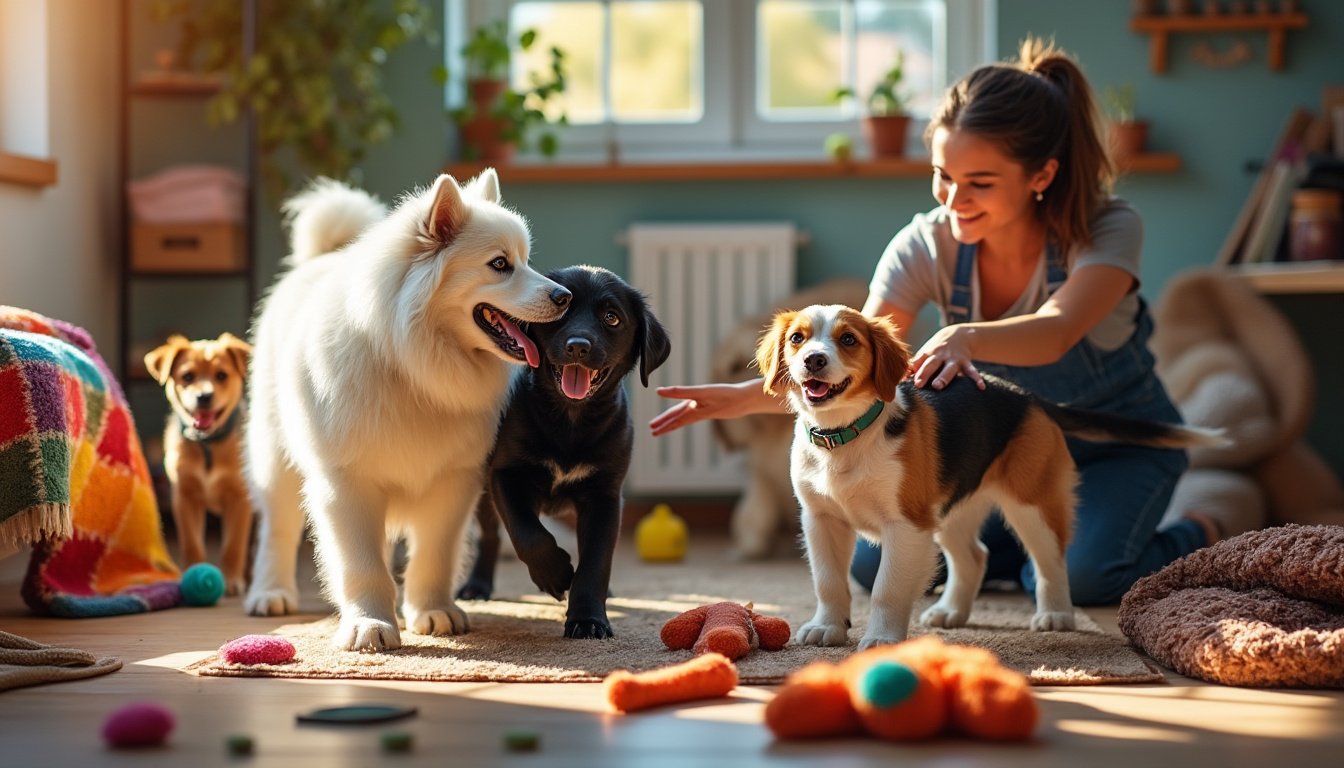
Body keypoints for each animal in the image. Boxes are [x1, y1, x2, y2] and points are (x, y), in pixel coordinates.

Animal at [144, 332, 254, 594]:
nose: (204, 397)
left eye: (222, 375)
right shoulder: (184, 497)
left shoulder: (239, 500)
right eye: (187, 376)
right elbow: (191, 543)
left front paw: (231, 579)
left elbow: (234, 545)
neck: (208, 444)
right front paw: (194, 572)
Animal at [244, 171, 569, 650]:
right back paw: (270, 594)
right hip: (276, 458)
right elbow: (361, 566)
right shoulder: (347, 484)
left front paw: (433, 612)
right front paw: (370, 626)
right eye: (499, 264)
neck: (415, 371)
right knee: (277, 530)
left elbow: (434, 555)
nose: (565, 296)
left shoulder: (453, 484)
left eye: (526, 260)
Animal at [462, 267, 672, 640]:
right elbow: (528, 533)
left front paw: (588, 619)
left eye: (611, 317)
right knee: (490, 536)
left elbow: (596, 559)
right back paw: (477, 585)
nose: (578, 346)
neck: (570, 421)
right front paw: (555, 574)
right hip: (484, 492)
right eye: (561, 312)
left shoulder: (605, 494)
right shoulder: (505, 475)